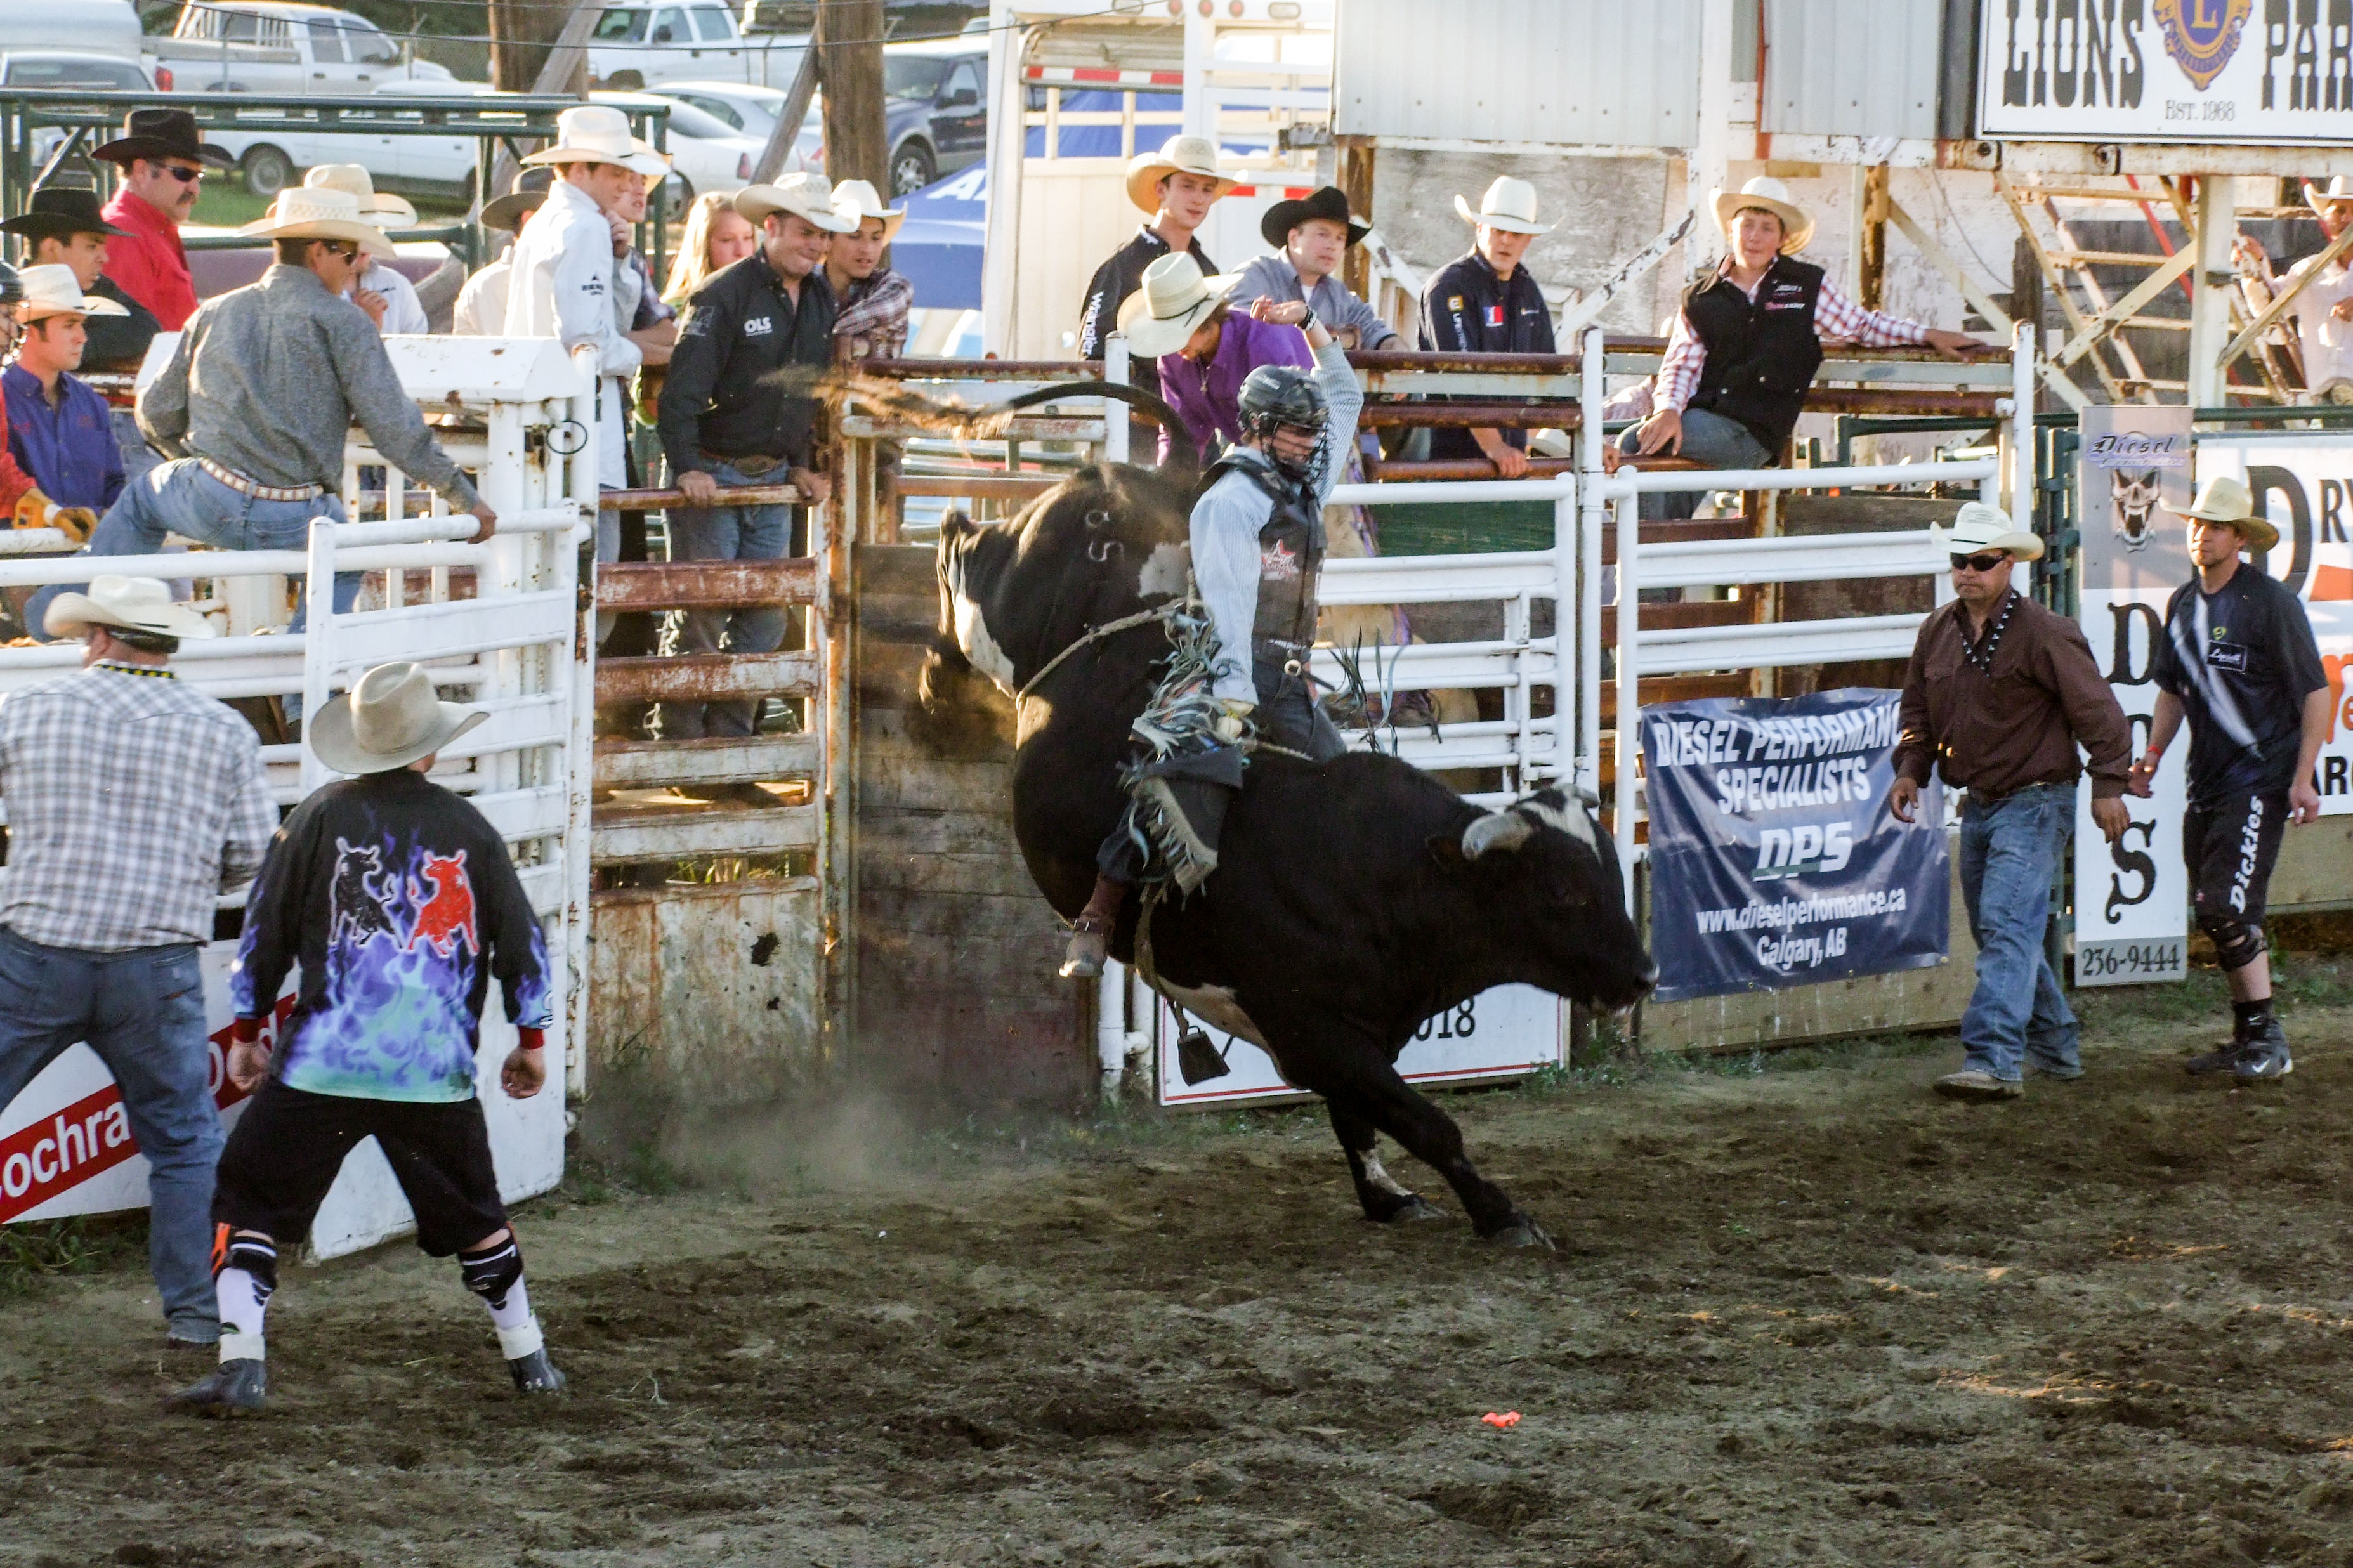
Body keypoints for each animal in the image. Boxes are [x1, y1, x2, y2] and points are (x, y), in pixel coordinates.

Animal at [917, 461, 1656, 1248]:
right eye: (1562, 894)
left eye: (1613, 880)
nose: (1644, 974)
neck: (1373, 870)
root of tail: (1106, 481)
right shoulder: (1313, 1034)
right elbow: (1427, 1124)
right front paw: (1502, 1214)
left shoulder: (1370, 1033)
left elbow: (1360, 1121)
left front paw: (1388, 1197)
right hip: (1002, 598)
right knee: (963, 565)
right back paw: (938, 658)